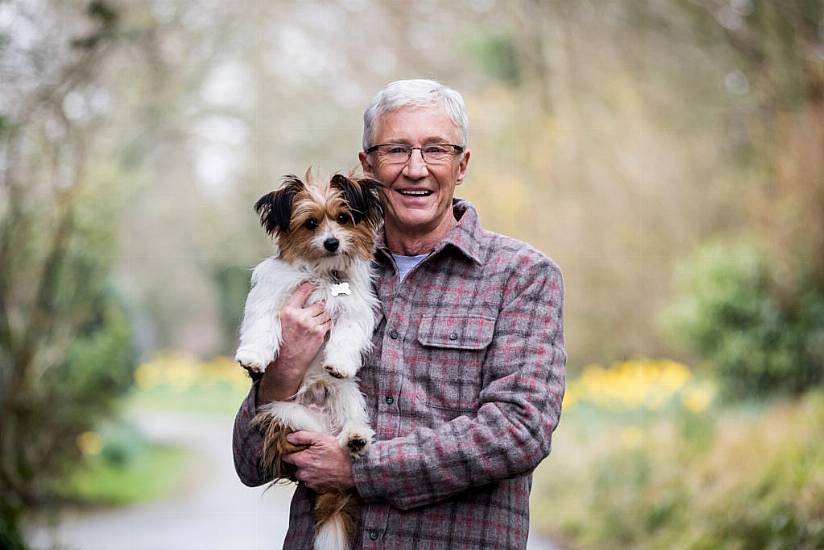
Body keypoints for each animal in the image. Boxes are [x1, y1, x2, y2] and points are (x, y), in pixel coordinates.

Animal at [235, 171, 384, 550]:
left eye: (343, 218)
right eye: (311, 223)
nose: (332, 242)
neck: (322, 274)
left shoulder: (353, 309)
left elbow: (347, 335)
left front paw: (340, 361)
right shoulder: (272, 297)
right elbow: (263, 324)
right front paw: (253, 357)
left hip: (347, 395)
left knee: (351, 427)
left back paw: (356, 438)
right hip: (289, 416)